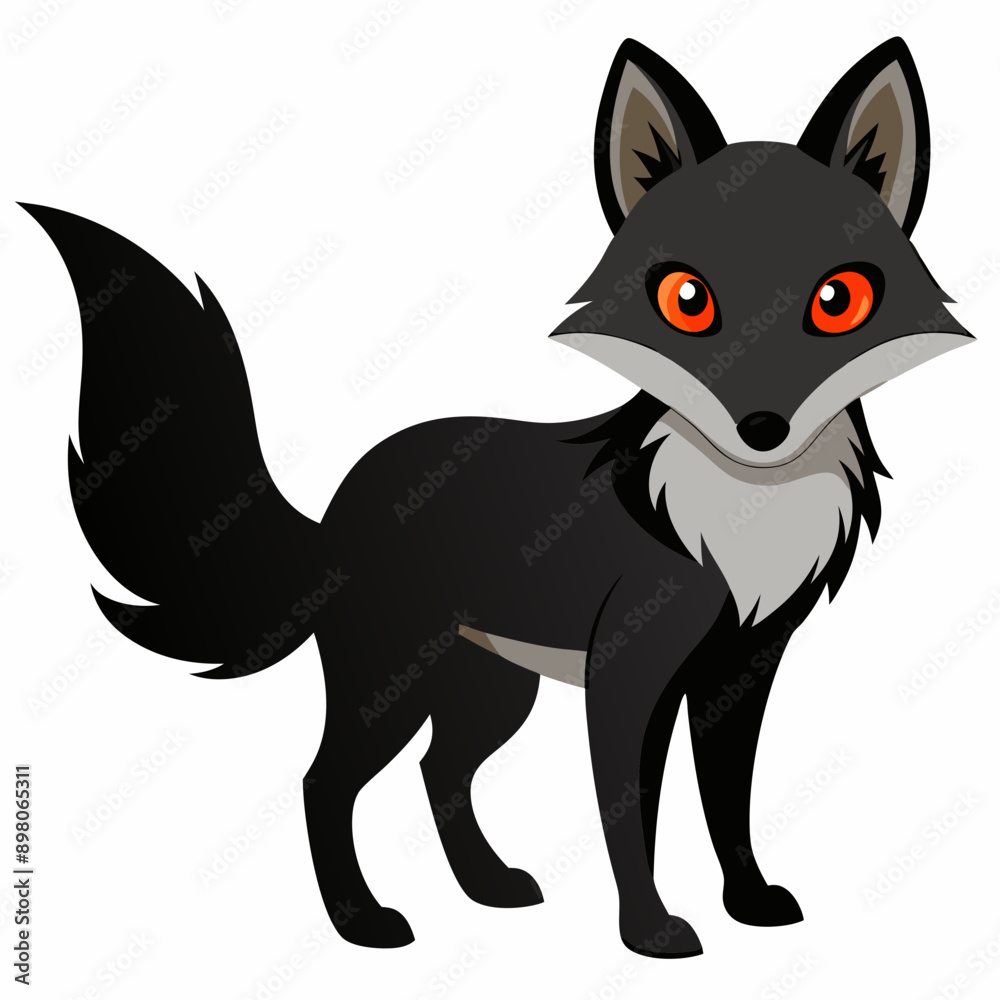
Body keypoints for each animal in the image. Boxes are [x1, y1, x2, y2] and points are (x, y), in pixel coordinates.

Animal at [24, 35, 971, 957]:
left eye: (839, 300)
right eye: (686, 300)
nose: (762, 428)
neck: (739, 519)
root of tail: (339, 504)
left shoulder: (743, 671)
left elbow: (727, 804)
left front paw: (750, 903)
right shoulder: (628, 679)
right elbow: (632, 816)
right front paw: (650, 933)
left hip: (490, 690)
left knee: (439, 771)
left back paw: (486, 887)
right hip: (393, 683)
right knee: (325, 781)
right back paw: (362, 923)